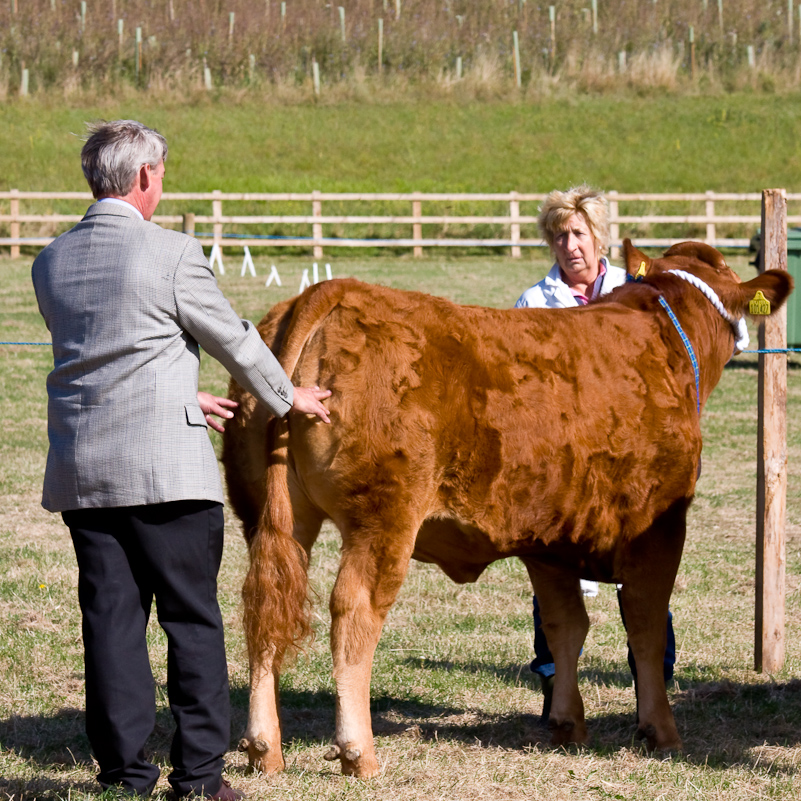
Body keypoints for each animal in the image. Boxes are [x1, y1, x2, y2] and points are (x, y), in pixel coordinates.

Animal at [222, 239, 792, 776]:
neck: (661, 336)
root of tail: (338, 290)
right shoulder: (661, 528)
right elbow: (645, 628)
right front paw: (661, 731)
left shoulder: (548, 540)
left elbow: (566, 627)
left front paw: (566, 722)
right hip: (383, 520)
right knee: (353, 612)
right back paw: (358, 752)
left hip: (270, 518)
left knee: (265, 607)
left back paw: (263, 747)